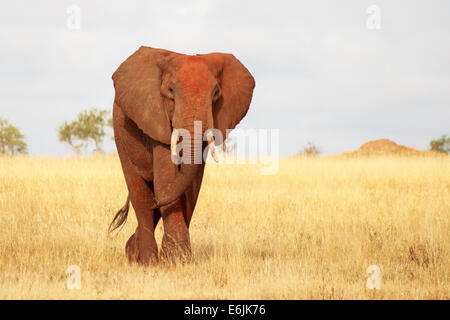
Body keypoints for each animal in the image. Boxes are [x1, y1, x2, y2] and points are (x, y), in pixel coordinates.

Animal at [109, 45, 255, 264]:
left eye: (216, 93)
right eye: (170, 91)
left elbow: (190, 185)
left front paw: (176, 259)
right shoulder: (156, 118)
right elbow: (167, 180)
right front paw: (176, 260)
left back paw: (133, 253)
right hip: (121, 134)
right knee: (141, 195)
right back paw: (146, 261)